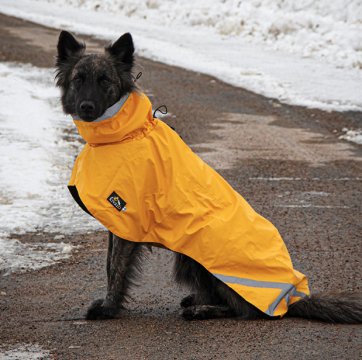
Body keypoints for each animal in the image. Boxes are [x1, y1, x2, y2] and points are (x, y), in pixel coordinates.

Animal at [55, 31, 362, 324]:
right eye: (78, 79)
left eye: (104, 80)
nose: (86, 107)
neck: (126, 133)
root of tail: (289, 298)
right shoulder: (119, 224)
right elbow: (109, 263)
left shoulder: (126, 220)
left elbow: (115, 269)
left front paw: (108, 309)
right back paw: (198, 300)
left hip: (195, 257)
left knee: (245, 311)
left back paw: (202, 309)